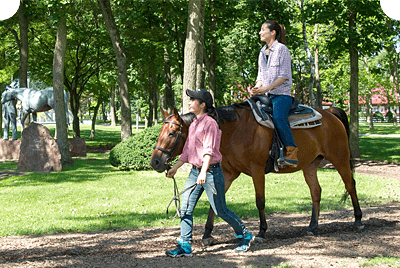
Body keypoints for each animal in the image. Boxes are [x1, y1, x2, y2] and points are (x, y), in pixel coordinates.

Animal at [149, 102, 362, 245]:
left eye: (171, 133)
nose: (155, 162)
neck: (234, 131)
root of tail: (330, 113)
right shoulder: (228, 174)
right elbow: (216, 203)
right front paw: (208, 235)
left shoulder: (257, 170)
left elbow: (260, 201)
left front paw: (262, 232)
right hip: (310, 166)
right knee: (316, 192)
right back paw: (312, 226)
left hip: (340, 159)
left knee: (350, 185)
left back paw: (358, 220)